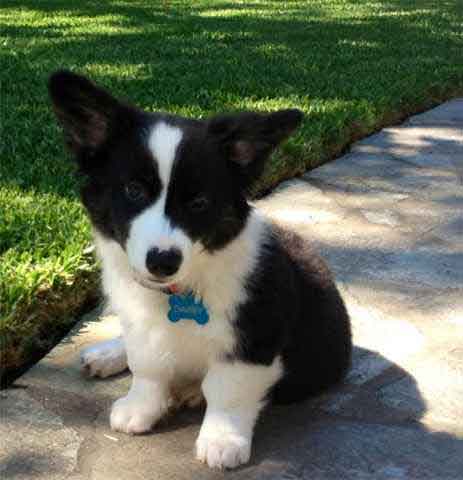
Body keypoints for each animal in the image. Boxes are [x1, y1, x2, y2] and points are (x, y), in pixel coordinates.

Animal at [48, 71, 352, 468]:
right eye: (133, 190)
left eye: (199, 202)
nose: (162, 261)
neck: (180, 289)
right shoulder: (142, 325)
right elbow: (147, 367)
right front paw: (140, 408)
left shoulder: (252, 339)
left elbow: (226, 390)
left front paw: (222, 440)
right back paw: (107, 354)